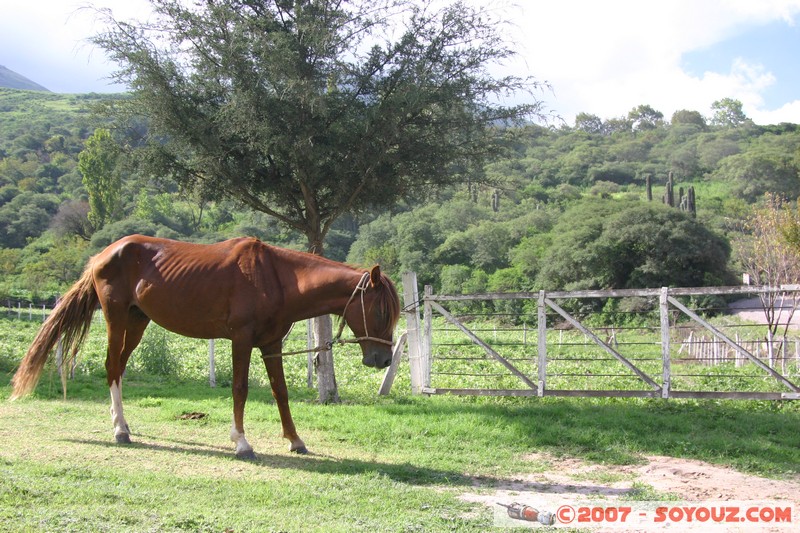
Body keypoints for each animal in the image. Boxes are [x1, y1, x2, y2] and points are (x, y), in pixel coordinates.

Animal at [10, 236, 398, 458]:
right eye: (380, 310)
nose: (382, 359)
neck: (276, 278)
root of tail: (104, 255)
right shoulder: (241, 340)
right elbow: (240, 389)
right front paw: (241, 443)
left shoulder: (271, 344)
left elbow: (281, 391)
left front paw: (295, 440)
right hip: (116, 319)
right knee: (111, 367)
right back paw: (120, 429)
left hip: (137, 322)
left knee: (118, 366)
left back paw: (124, 425)